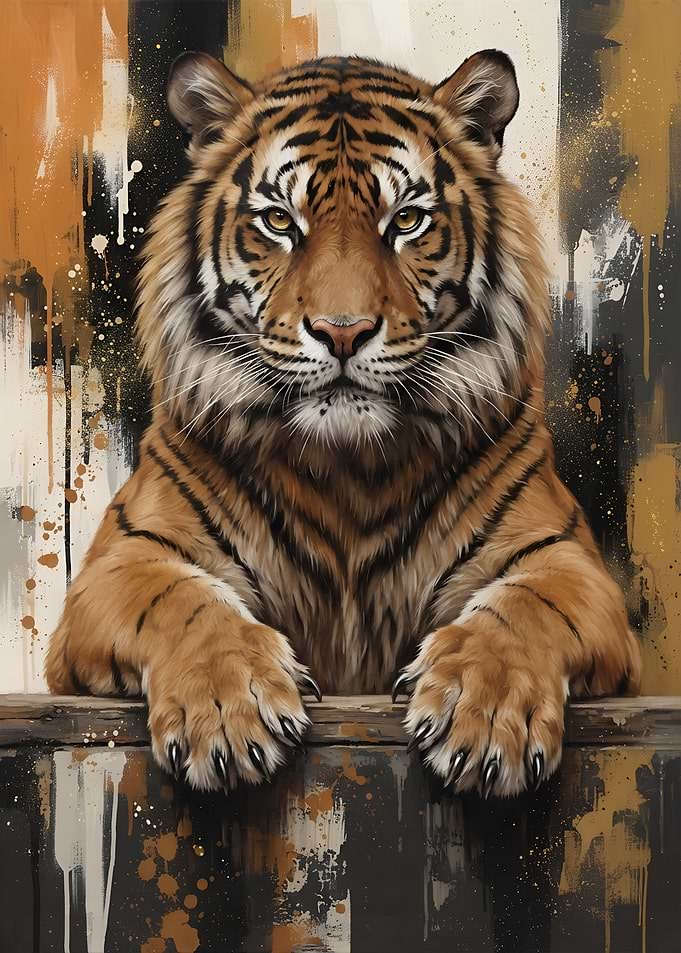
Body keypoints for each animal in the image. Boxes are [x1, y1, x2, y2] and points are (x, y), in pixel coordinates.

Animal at [46, 48, 641, 798]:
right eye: (279, 222)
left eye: (407, 221)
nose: (342, 331)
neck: (348, 469)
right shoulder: (119, 563)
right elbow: (184, 601)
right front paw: (228, 710)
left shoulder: (569, 563)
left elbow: (524, 610)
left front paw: (484, 714)